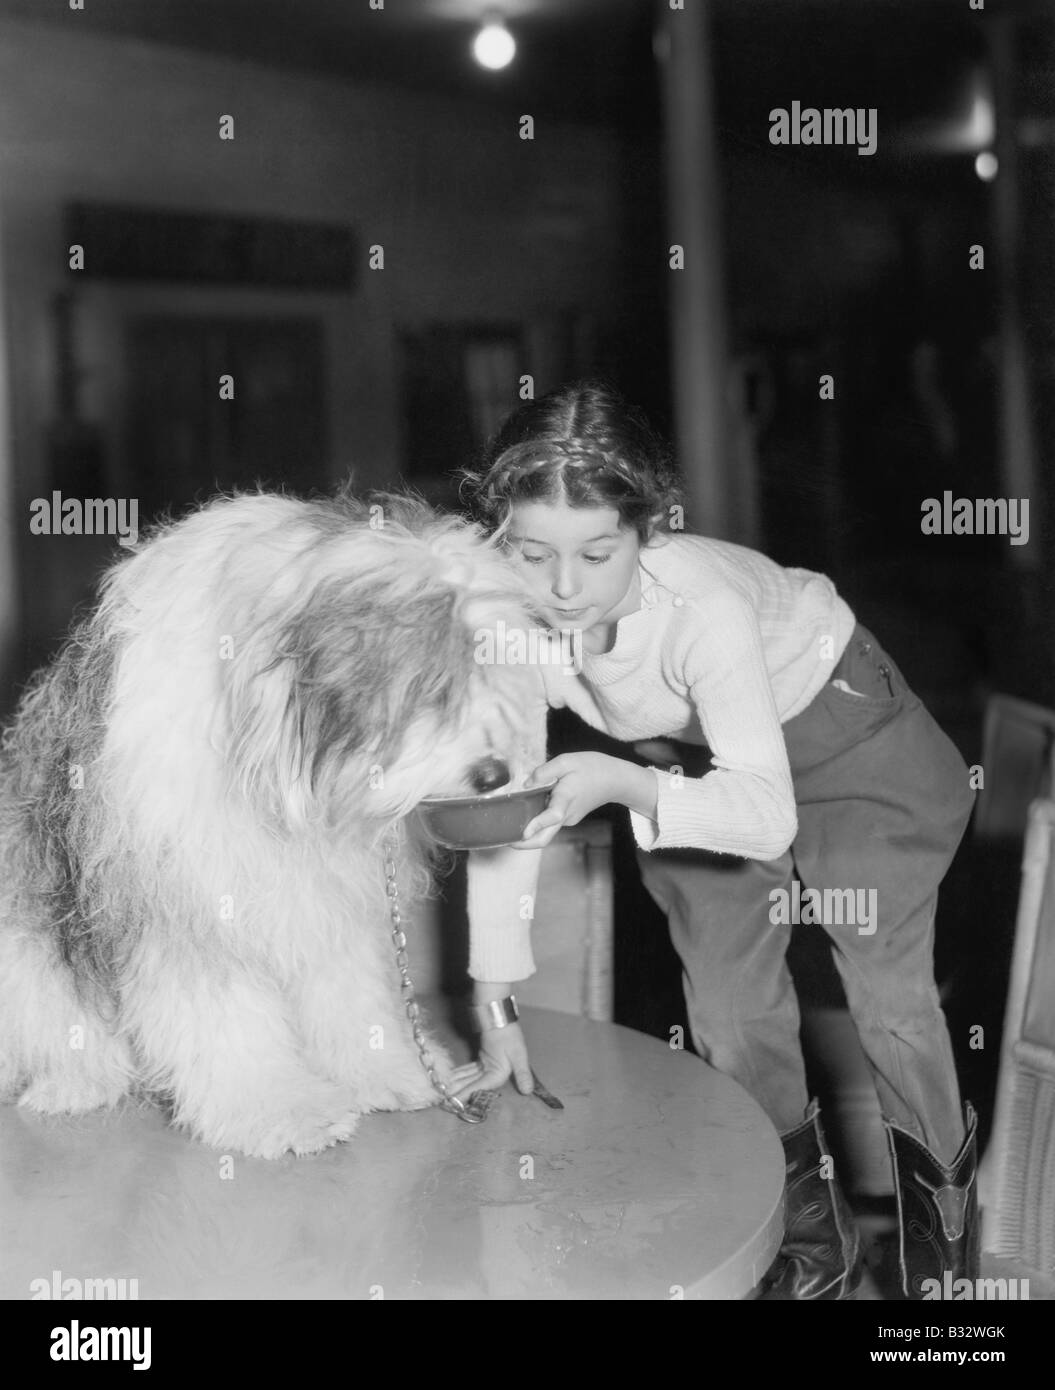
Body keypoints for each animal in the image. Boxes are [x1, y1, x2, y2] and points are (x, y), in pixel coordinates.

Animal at [0, 494, 544, 1156]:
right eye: (436, 689)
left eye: (492, 677)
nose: (496, 774)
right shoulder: (186, 904)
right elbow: (226, 1021)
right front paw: (281, 1110)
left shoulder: (332, 903)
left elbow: (351, 998)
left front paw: (390, 1071)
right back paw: (77, 1083)